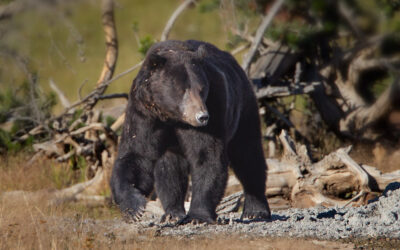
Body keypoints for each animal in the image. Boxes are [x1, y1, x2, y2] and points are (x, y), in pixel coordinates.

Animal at [111, 40, 270, 224]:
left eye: (202, 88)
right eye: (182, 89)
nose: (202, 116)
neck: (171, 116)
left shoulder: (215, 106)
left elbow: (207, 156)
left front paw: (198, 215)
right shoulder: (144, 111)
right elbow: (137, 154)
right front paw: (134, 208)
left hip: (243, 108)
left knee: (248, 154)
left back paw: (255, 210)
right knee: (169, 168)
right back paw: (172, 213)